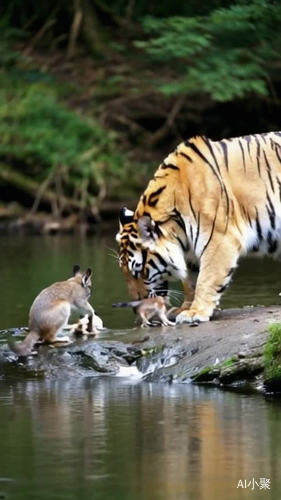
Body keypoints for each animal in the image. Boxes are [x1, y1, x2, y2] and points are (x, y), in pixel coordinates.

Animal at [115, 132, 280, 324]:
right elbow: (190, 281)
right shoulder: (190, 252)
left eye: (138, 271)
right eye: (124, 273)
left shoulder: (219, 239)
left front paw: (195, 312)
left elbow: (206, 278)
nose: (135, 309)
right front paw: (184, 308)